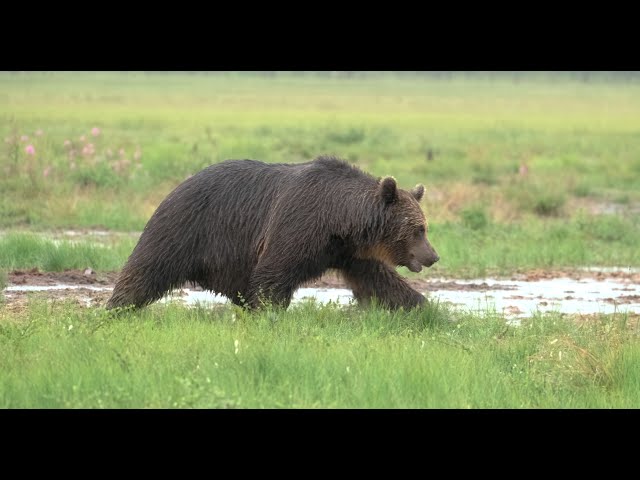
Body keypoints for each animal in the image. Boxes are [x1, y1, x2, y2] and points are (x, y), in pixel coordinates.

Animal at [106, 155, 440, 312]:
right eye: (418, 229)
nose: (433, 256)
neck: (339, 219)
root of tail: (178, 185)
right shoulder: (298, 224)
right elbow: (272, 275)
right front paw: (268, 314)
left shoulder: (349, 252)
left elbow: (380, 281)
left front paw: (424, 308)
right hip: (184, 227)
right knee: (147, 269)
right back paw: (116, 308)